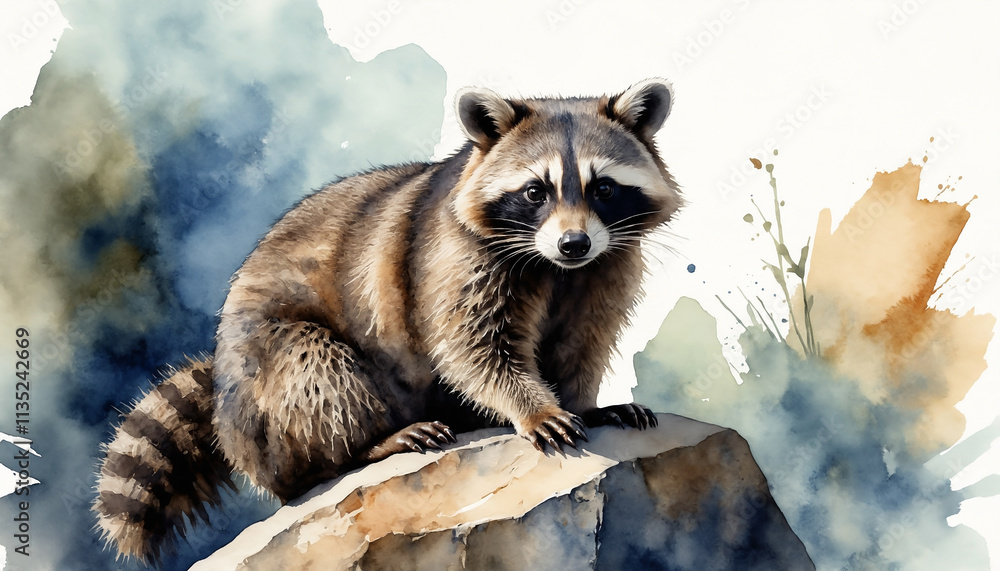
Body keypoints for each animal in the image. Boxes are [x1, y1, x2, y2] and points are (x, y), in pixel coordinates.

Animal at [94, 79, 682, 562]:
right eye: (536, 190)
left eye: (603, 187)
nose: (574, 243)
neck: (555, 268)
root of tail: (223, 398)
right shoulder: (453, 257)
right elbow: (472, 346)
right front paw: (532, 405)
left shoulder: (606, 266)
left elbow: (585, 341)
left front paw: (585, 400)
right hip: (268, 363)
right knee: (317, 373)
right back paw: (364, 445)